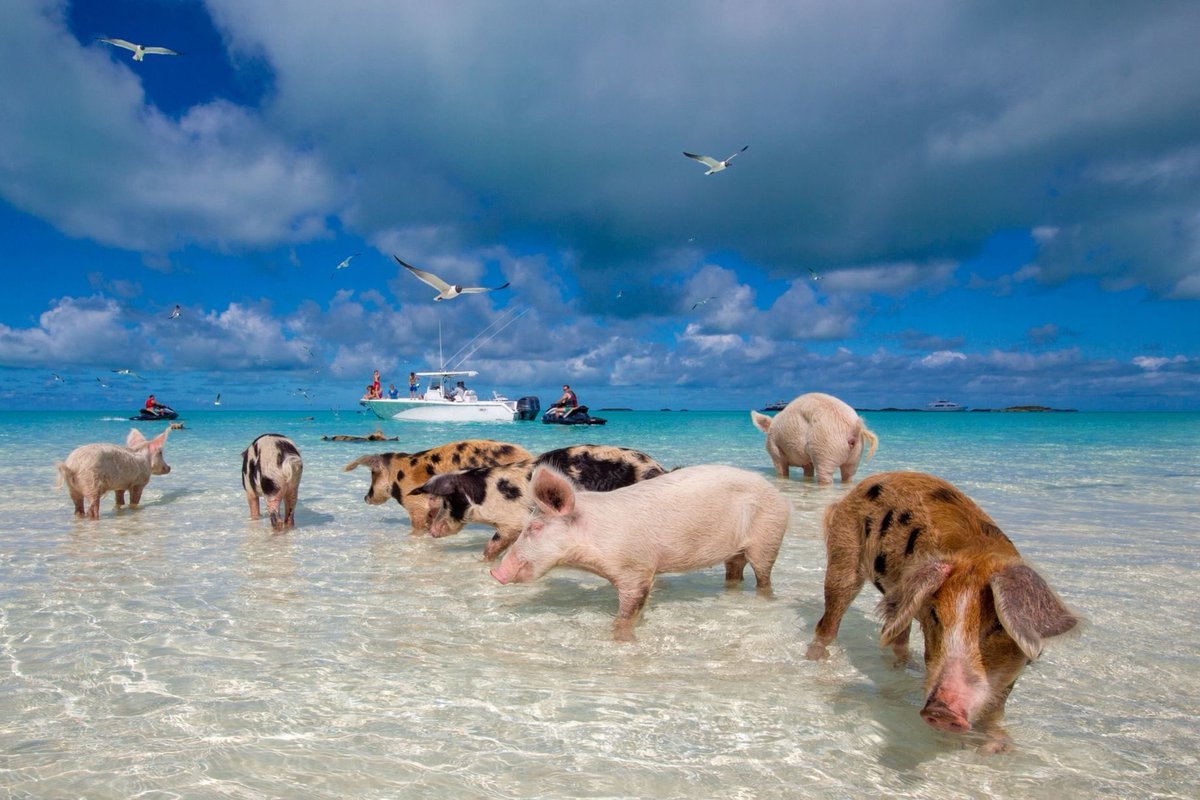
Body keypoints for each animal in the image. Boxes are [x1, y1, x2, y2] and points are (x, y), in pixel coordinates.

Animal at [410, 441, 667, 561]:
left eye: (447, 502)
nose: (432, 531)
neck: (485, 494)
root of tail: (658, 468)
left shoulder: (512, 522)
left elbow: (493, 545)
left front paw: (482, 562)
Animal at [492, 465, 792, 642]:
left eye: (535, 527)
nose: (496, 572)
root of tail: (776, 492)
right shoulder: (646, 572)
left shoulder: (635, 570)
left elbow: (627, 613)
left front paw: (620, 640)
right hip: (736, 550)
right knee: (735, 572)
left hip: (769, 535)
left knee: (763, 577)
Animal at [806, 472, 1080, 753]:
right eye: (936, 616)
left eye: (998, 626)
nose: (941, 712)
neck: (977, 553)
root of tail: (851, 493)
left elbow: (997, 707)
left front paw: (996, 749)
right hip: (844, 555)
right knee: (829, 621)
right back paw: (815, 660)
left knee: (897, 634)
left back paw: (905, 668)